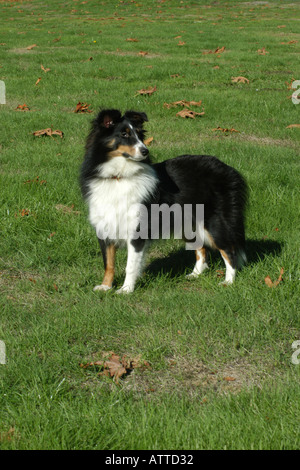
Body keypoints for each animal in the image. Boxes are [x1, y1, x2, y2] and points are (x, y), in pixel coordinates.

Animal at [81, 110, 247, 294]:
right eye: (124, 134)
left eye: (139, 134)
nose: (145, 151)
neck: (118, 177)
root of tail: (229, 169)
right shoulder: (105, 227)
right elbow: (108, 263)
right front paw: (105, 286)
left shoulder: (137, 230)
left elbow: (130, 266)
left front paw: (126, 290)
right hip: (188, 224)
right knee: (201, 250)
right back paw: (195, 275)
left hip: (214, 223)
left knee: (229, 250)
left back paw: (228, 282)